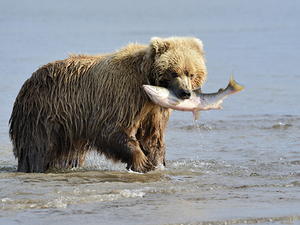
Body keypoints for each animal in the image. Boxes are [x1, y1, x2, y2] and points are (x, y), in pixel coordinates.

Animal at [8, 36, 206, 172]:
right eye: (174, 72)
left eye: (191, 74)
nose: (185, 93)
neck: (146, 81)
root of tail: (28, 82)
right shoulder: (122, 96)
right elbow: (110, 129)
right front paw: (141, 161)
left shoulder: (154, 110)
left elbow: (153, 137)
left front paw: (156, 163)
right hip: (43, 114)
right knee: (38, 147)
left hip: (68, 126)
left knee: (71, 154)